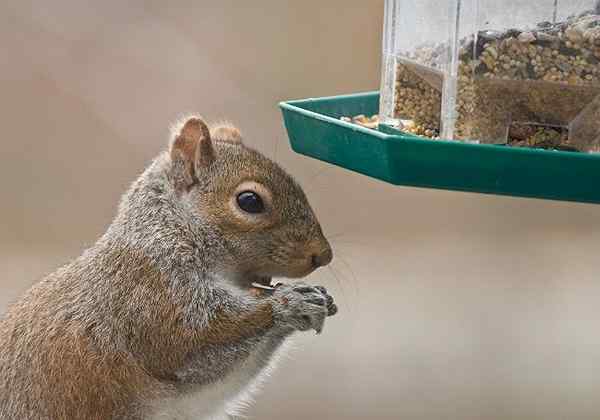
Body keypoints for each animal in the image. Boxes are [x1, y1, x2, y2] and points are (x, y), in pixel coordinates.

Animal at [0, 116, 338, 420]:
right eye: (250, 201)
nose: (323, 255)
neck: (172, 231)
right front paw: (289, 303)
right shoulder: (150, 298)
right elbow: (195, 346)